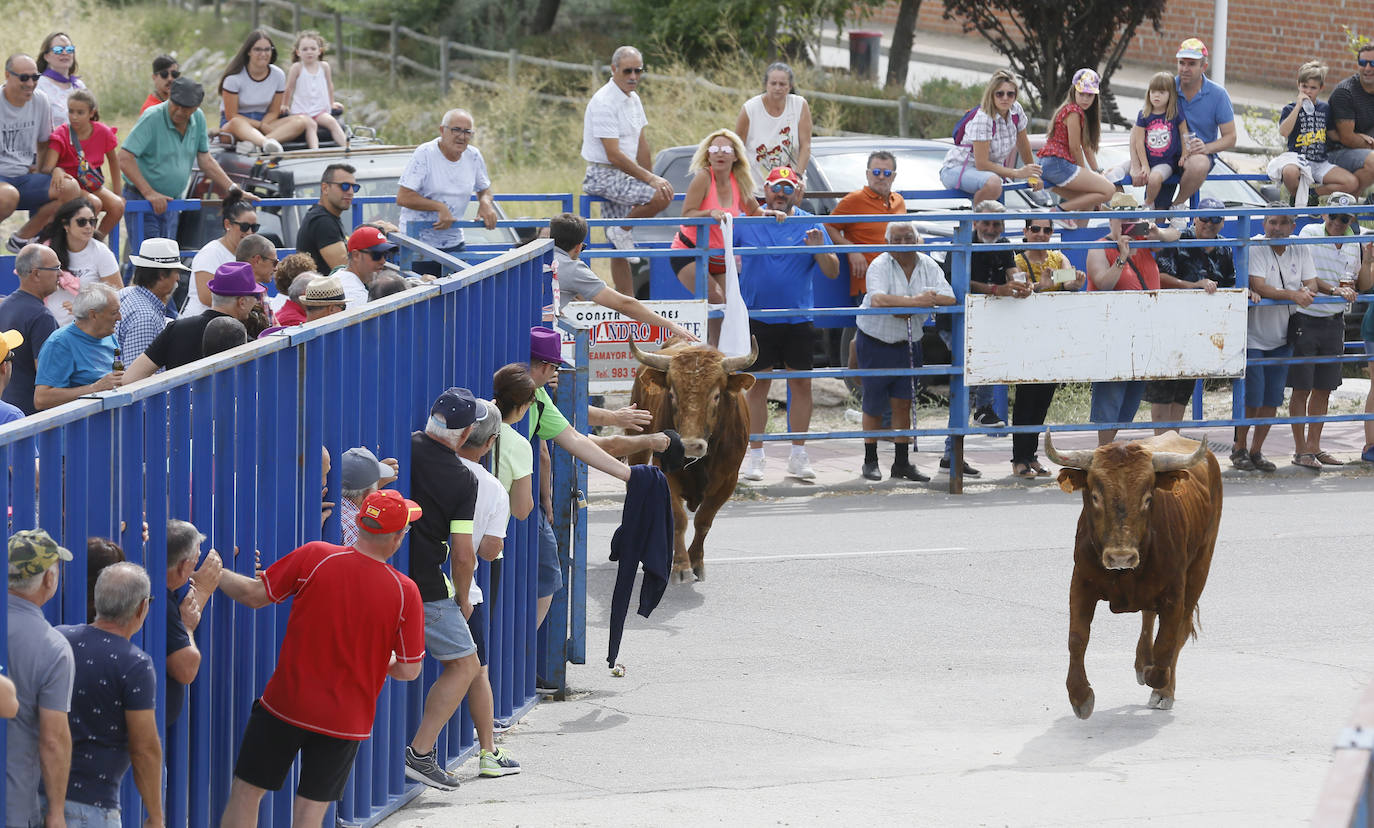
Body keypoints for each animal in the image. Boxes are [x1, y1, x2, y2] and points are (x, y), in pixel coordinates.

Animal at [629, 336, 758, 582]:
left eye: (716, 395)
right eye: (672, 394)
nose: (689, 445)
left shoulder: (728, 481)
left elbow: (704, 521)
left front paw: (696, 561)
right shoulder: (666, 474)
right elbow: (679, 520)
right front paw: (681, 565)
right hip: (636, 444)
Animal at [1038, 431, 1225, 725]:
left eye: (1148, 498)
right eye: (1095, 496)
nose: (1121, 556)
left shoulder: (1175, 592)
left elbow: (1167, 642)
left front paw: (1157, 679)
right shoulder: (1080, 583)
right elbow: (1077, 637)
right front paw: (1080, 696)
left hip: (1201, 565)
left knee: (1179, 629)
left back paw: (1163, 689)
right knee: (1148, 616)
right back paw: (1142, 662)